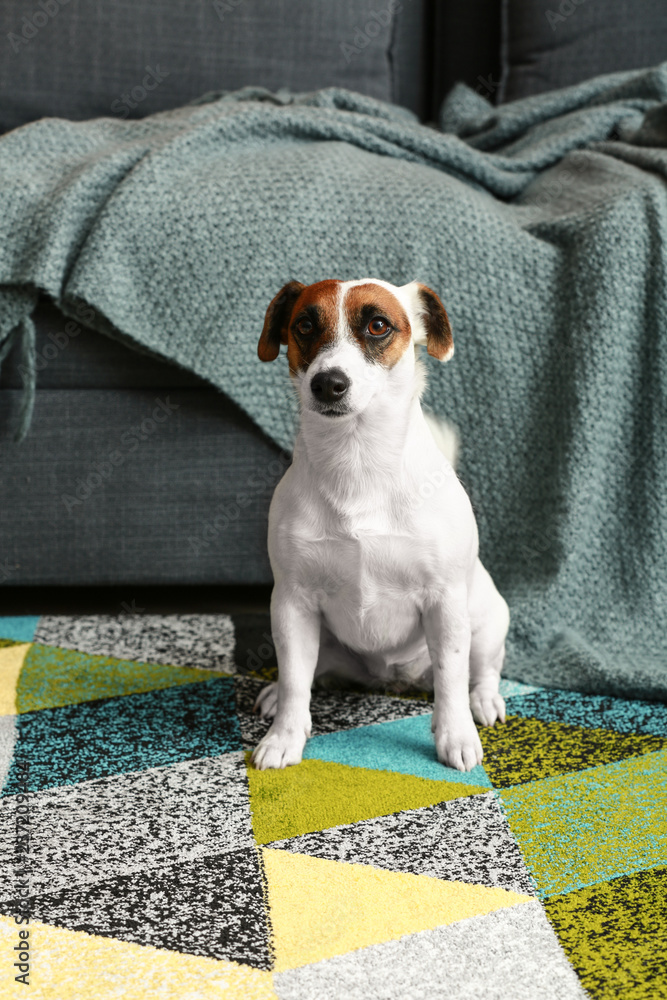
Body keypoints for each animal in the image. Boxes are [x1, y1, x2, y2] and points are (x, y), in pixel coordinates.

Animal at [249, 280, 506, 772]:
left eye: (378, 325)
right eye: (304, 325)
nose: (328, 383)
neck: (357, 459)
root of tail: (392, 680)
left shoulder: (445, 602)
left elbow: (451, 678)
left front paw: (456, 735)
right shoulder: (292, 603)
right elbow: (294, 682)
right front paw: (284, 737)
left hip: (486, 621)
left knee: (481, 670)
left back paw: (484, 701)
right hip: (321, 639)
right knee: (309, 675)